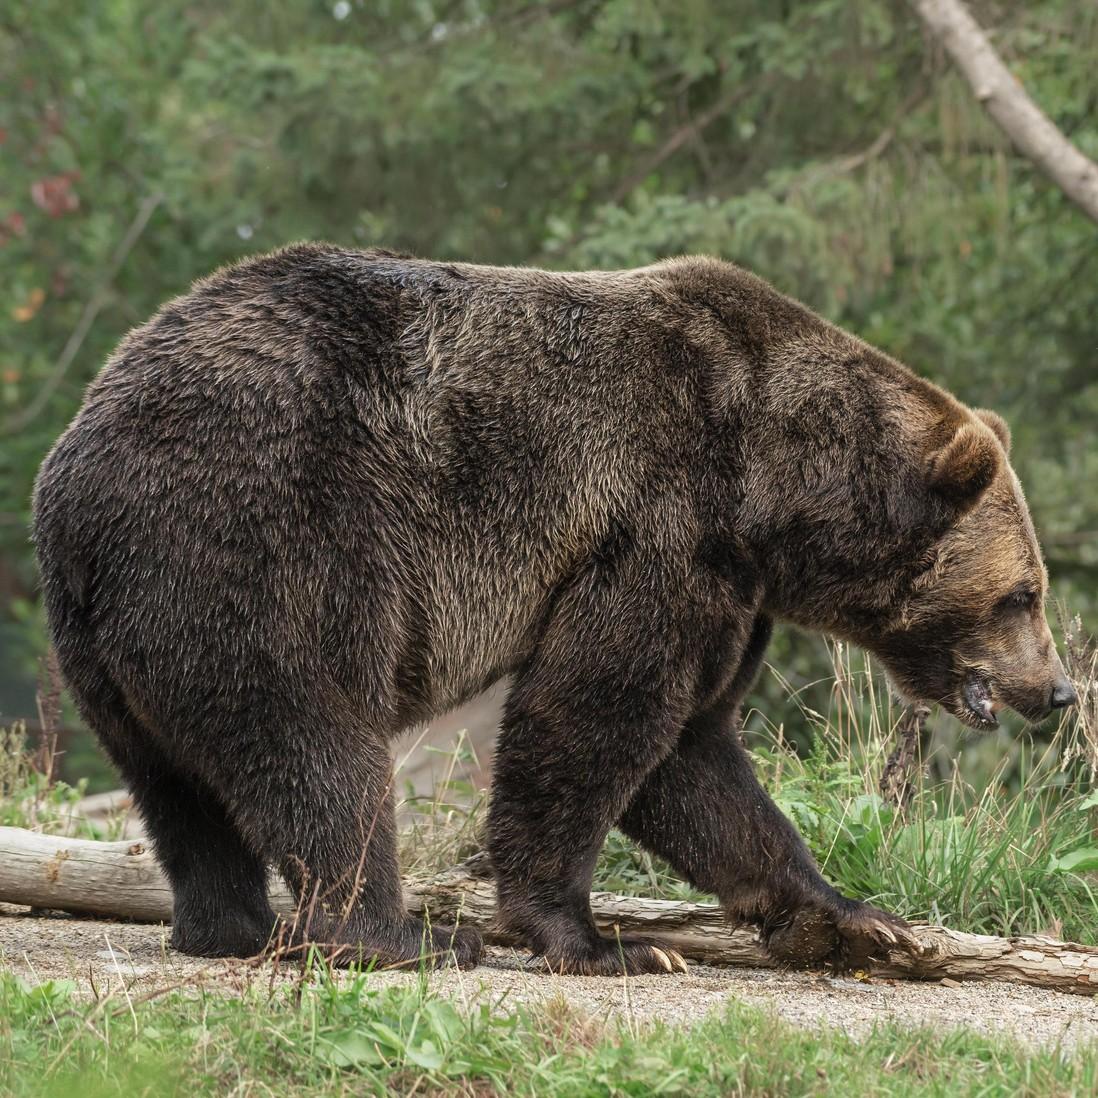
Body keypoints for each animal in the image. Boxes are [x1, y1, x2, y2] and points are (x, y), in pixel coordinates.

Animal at [32, 245, 1077, 975]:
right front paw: (600, 939)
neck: (775, 490)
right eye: (1024, 593)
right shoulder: (660, 524)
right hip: (268, 537)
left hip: (104, 638)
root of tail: (81, 468)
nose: (1059, 689)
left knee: (176, 784)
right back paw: (397, 936)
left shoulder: (731, 586)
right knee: (314, 741)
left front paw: (854, 916)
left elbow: (693, 756)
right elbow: (594, 716)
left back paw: (230, 928)